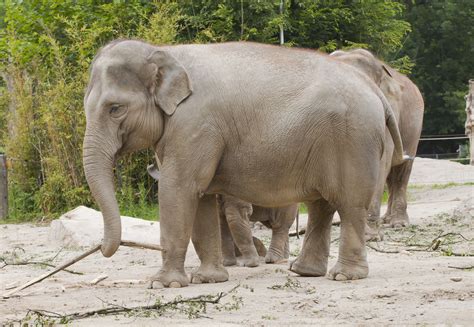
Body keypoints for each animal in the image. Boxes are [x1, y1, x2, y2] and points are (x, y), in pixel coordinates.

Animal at [84, 39, 408, 288]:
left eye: (115, 109)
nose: (102, 249)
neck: (165, 52)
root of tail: (375, 90)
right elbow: (201, 197)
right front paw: (208, 280)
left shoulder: (194, 124)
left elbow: (178, 189)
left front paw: (163, 284)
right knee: (321, 205)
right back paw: (304, 271)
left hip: (353, 140)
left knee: (350, 203)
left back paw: (344, 276)